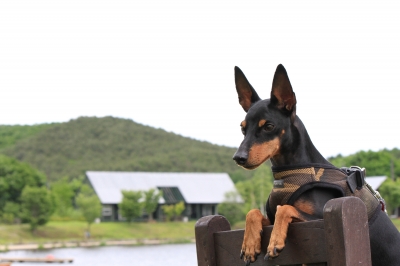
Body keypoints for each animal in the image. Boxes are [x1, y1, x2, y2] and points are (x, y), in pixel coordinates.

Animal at [231, 64, 400, 266]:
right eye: (243, 128)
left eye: (269, 126)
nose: (238, 158)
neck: (287, 174)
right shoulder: (270, 218)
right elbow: (253, 211)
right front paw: (250, 244)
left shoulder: (319, 219)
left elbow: (285, 208)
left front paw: (275, 240)